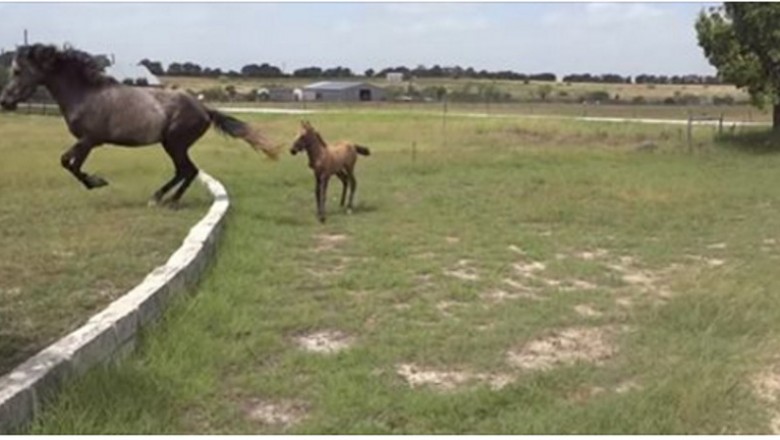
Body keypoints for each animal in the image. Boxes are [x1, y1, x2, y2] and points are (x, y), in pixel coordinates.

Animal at [0, 43, 280, 205]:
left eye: (17, 71)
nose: (5, 101)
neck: (86, 94)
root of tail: (204, 109)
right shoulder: (87, 142)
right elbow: (69, 164)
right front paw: (95, 182)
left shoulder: (89, 140)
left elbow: (69, 164)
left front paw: (97, 182)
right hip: (172, 145)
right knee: (185, 171)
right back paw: (162, 198)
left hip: (174, 143)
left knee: (188, 170)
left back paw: (166, 200)